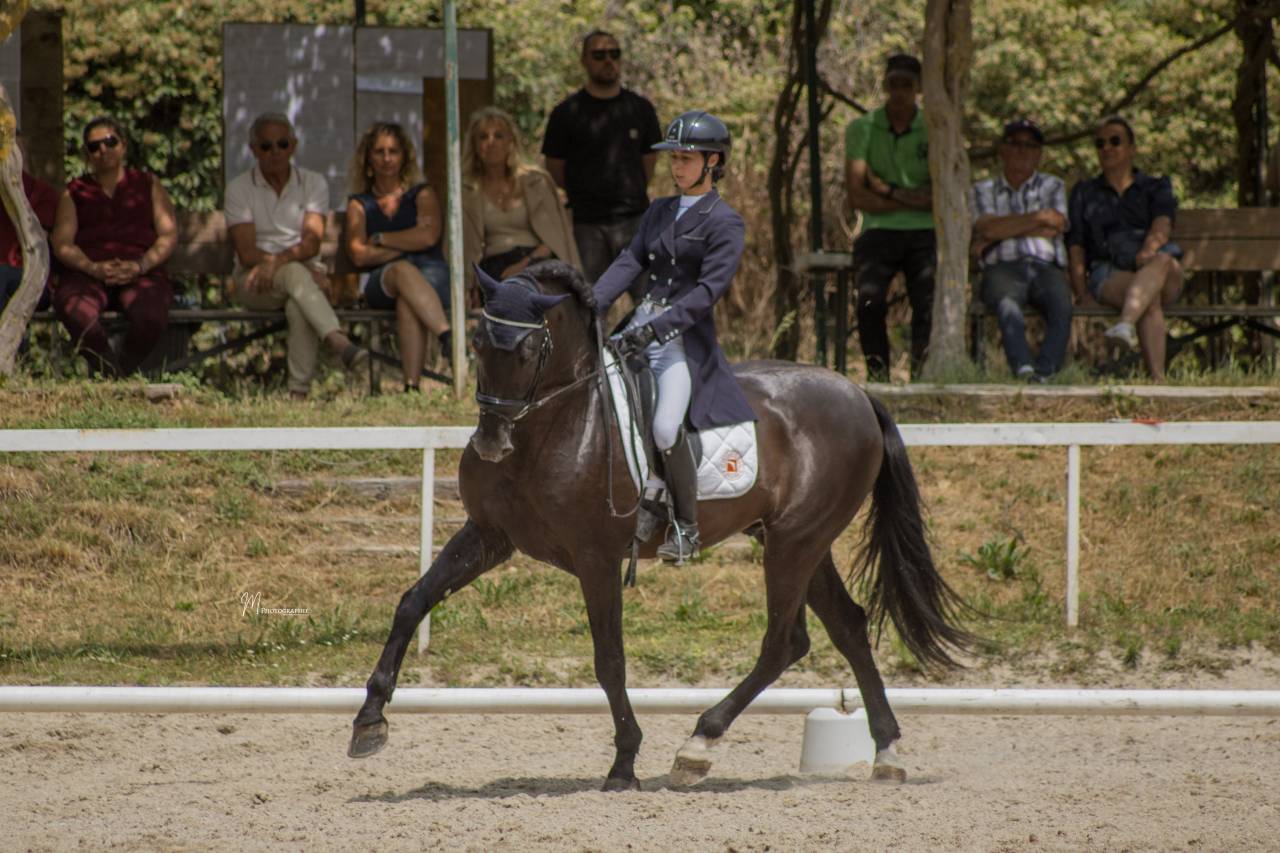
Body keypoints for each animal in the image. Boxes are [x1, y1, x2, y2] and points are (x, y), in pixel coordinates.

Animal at [349, 260, 974, 790]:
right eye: (477, 342)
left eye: (528, 350)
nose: (490, 444)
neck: (557, 425)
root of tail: (858, 392)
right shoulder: (490, 535)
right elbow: (412, 601)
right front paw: (369, 721)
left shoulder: (596, 557)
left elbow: (609, 659)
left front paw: (624, 762)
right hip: (798, 539)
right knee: (845, 626)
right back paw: (886, 753)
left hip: (796, 541)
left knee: (783, 641)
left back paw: (697, 747)